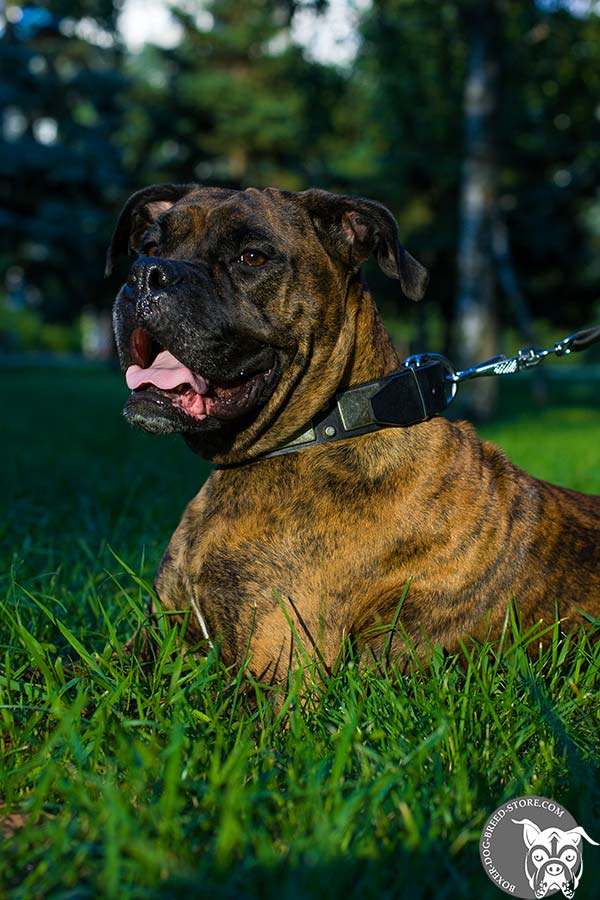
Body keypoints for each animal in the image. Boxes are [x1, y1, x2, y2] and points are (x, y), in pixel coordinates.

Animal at [108, 186, 600, 684]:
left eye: (252, 257)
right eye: (150, 246)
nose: (146, 274)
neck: (329, 426)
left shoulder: (278, 674)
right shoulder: (150, 637)